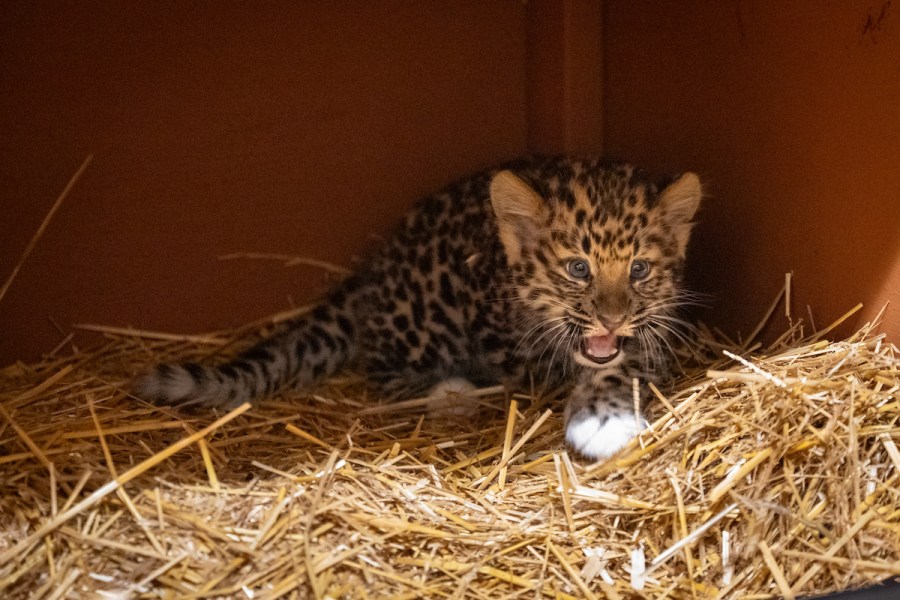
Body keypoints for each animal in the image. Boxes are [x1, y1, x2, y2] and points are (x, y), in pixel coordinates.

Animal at [133, 156, 702, 459]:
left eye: (639, 270)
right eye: (578, 268)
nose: (612, 318)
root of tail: (372, 271)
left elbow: (627, 358)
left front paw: (606, 410)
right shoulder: (512, 351)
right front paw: (600, 415)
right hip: (424, 318)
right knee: (383, 374)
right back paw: (450, 394)